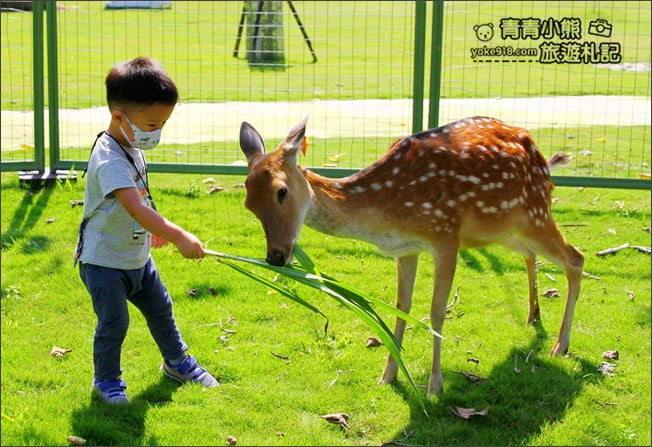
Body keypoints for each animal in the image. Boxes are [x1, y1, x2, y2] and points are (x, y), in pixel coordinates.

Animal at [238, 116, 584, 395]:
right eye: (248, 204)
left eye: (281, 191)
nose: (276, 256)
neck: (389, 211)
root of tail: (539, 153)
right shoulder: (406, 249)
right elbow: (400, 307)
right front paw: (388, 376)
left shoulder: (446, 235)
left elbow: (436, 311)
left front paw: (435, 385)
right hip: (503, 229)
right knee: (532, 254)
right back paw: (533, 315)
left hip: (535, 211)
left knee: (575, 257)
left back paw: (561, 344)